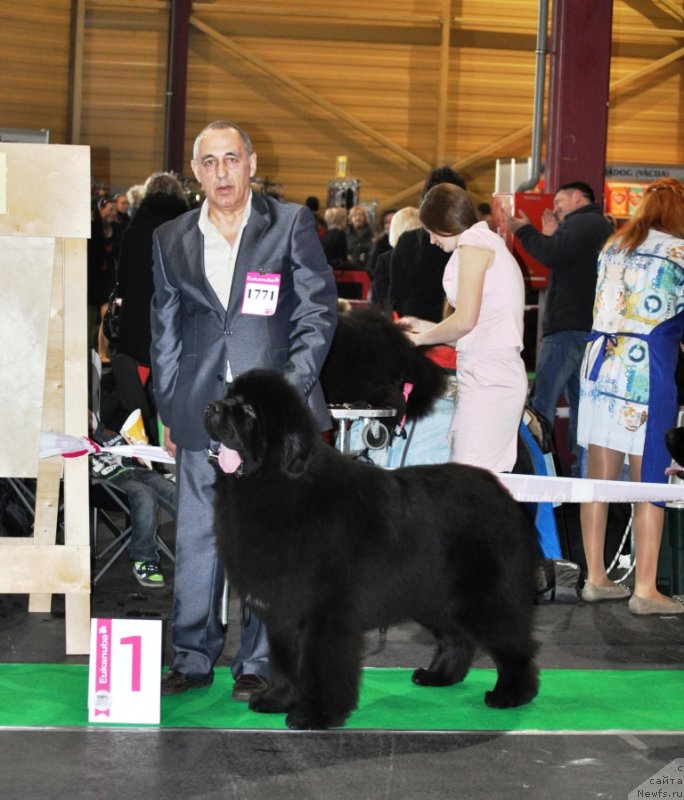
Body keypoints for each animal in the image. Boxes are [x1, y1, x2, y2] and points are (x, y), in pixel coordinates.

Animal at [203, 370, 540, 732]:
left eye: (249, 411)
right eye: (229, 394)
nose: (210, 407)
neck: (278, 485)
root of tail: (502, 492)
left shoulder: (323, 612)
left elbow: (319, 666)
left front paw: (315, 714)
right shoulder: (283, 612)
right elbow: (283, 661)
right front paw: (278, 699)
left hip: (482, 596)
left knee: (513, 642)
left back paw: (512, 694)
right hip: (433, 595)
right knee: (457, 638)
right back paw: (438, 676)